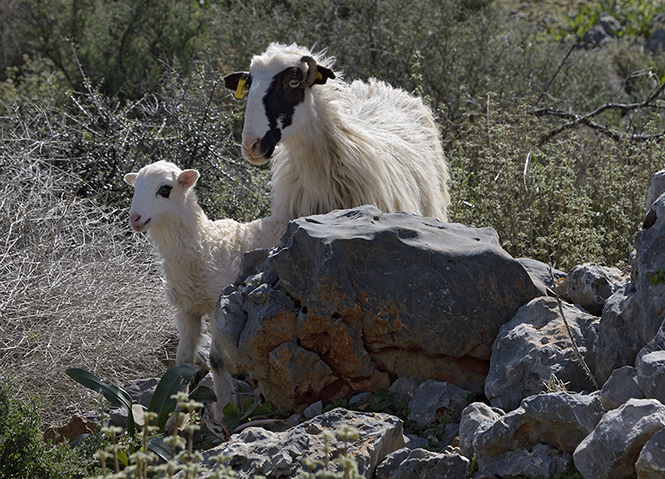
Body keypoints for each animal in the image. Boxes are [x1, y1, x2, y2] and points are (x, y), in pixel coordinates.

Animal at [123, 163, 286, 406]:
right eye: (135, 187)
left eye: (165, 189)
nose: (135, 218)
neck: (204, 246)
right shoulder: (186, 309)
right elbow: (182, 361)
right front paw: (177, 413)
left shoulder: (220, 304)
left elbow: (216, 358)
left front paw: (225, 406)